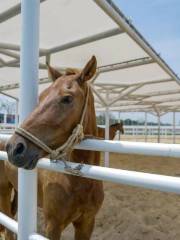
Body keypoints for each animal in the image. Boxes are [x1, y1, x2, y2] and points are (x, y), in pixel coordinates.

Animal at [3, 56, 104, 240]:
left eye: (67, 98)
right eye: (41, 97)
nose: (14, 147)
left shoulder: (87, 223)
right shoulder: (53, 225)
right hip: (4, 191)